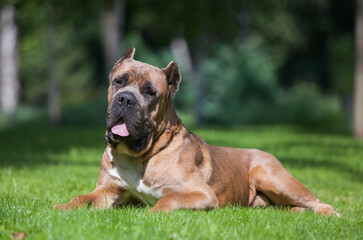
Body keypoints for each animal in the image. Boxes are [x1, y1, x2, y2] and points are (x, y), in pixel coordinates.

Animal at [54, 47, 342, 216]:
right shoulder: (109, 191)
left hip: (271, 177)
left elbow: (167, 201)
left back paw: (326, 215)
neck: (139, 156)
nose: (125, 99)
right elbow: (82, 197)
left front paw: (149, 215)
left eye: (150, 92)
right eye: (118, 81)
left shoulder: (200, 193)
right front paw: (60, 206)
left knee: (319, 203)